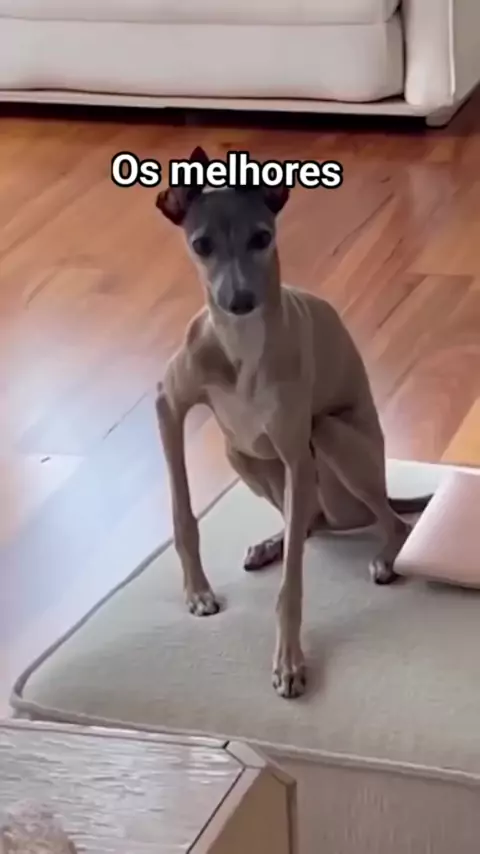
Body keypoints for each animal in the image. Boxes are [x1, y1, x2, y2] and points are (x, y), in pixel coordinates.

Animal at [154, 146, 428, 699]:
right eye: (201, 244)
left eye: (262, 237)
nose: (239, 300)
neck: (239, 345)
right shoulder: (168, 407)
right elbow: (183, 512)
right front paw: (197, 591)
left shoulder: (296, 455)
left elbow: (292, 586)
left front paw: (290, 662)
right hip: (239, 451)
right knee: (306, 523)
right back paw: (273, 542)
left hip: (329, 441)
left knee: (389, 522)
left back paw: (386, 557)